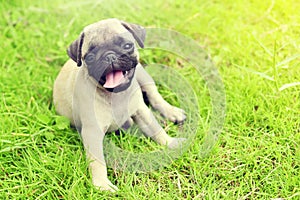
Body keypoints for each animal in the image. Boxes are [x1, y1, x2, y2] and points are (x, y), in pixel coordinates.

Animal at [52, 18, 186, 191]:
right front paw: (102, 184)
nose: (109, 56)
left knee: (154, 95)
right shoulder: (92, 132)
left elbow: (156, 130)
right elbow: (97, 162)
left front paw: (170, 142)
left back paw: (171, 113)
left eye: (127, 46)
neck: (115, 95)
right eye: (90, 57)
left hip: (143, 76)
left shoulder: (141, 111)